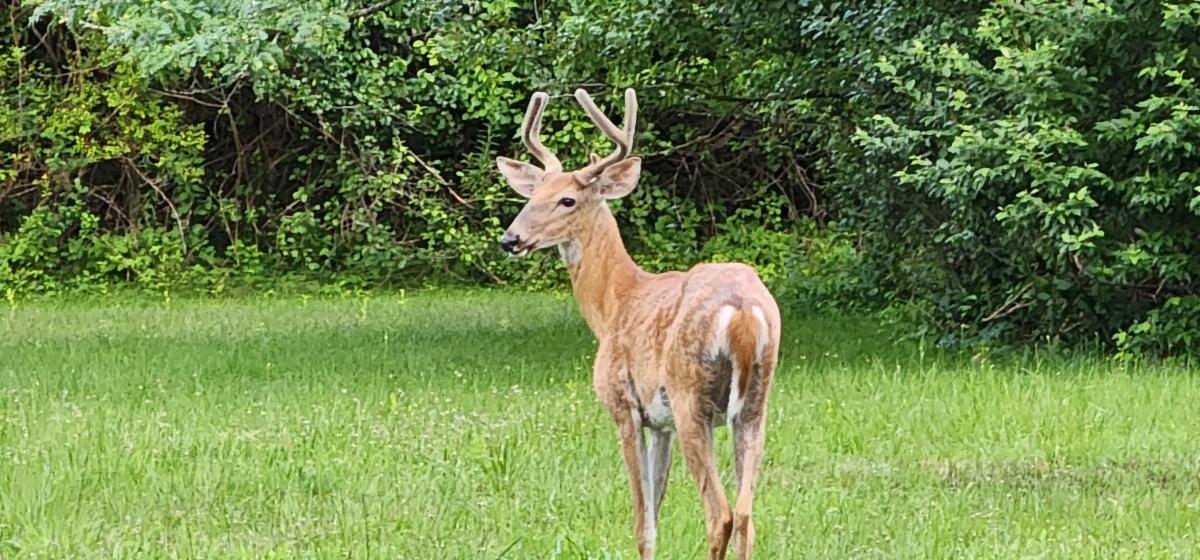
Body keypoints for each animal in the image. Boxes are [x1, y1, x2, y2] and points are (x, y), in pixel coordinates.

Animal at [495, 88, 781, 560]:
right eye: (532, 195)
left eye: (567, 200)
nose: (510, 239)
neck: (614, 304)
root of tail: (741, 313)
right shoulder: (661, 423)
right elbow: (657, 508)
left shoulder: (624, 405)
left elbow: (642, 520)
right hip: (755, 403)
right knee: (746, 515)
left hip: (691, 397)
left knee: (719, 513)